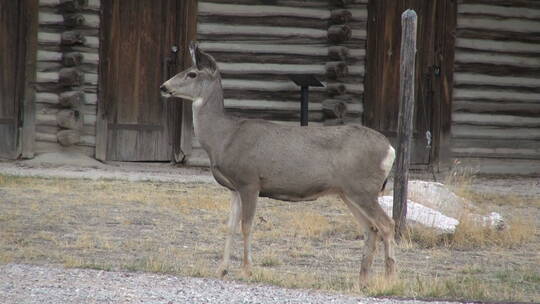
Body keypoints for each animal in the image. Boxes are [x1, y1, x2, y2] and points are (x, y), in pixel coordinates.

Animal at [160, 41, 396, 284]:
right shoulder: (234, 188)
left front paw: (247, 270)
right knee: (371, 228)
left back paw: (389, 278)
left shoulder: (250, 181)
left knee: (387, 224)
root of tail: (390, 149)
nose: (163, 86)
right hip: (348, 192)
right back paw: (363, 280)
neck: (224, 137)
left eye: (192, 73)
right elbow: (230, 227)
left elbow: (247, 226)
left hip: (363, 189)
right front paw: (221, 270)